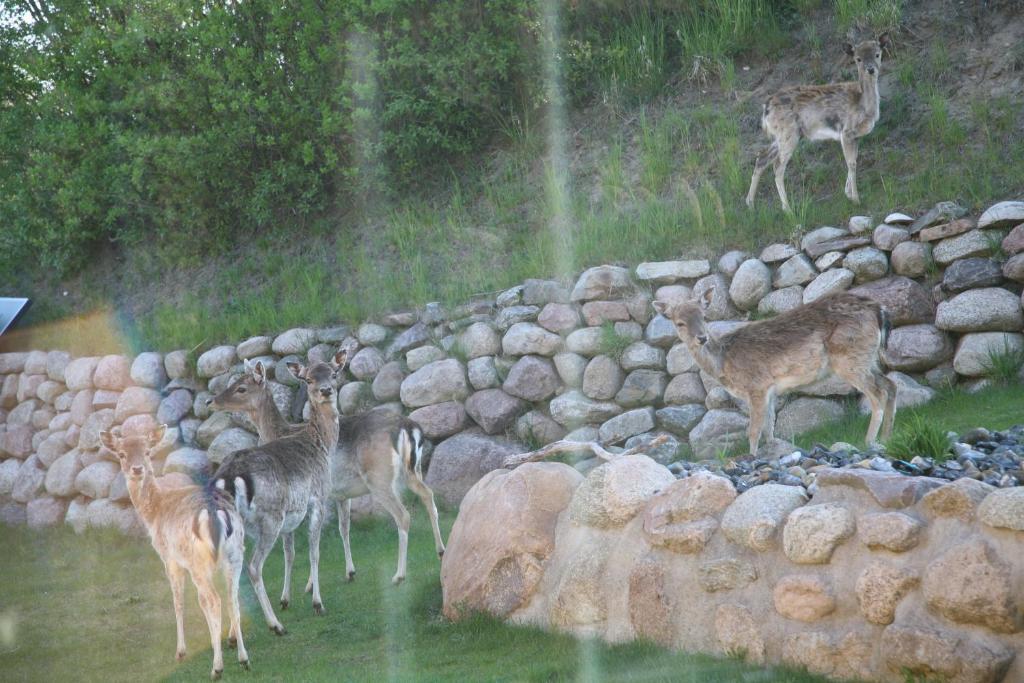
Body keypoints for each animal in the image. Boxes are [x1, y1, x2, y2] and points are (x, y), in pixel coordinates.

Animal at [99, 423, 247, 679]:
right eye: (122, 454)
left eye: (148, 452)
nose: (137, 469)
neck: (154, 513)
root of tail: (218, 514)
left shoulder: (169, 558)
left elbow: (178, 601)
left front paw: (180, 651)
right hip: (236, 553)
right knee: (233, 597)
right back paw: (244, 658)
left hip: (199, 562)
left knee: (214, 600)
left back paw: (217, 668)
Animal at [208, 352, 344, 634]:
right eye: (309, 379)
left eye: (334, 374)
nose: (326, 391)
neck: (322, 443)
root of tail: (227, 478)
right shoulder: (318, 497)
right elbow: (313, 550)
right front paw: (316, 603)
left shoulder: (294, 514)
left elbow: (290, 553)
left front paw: (288, 597)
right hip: (271, 517)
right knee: (253, 566)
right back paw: (275, 625)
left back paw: (232, 635)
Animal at [210, 358, 444, 589]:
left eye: (241, 387)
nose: (211, 401)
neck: (279, 433)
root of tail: (409, 426)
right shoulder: (341, 495)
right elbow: (343, 528)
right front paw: (349, 572)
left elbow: (308, 541)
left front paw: (309, 585)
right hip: (413, 471)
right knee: (428, 494)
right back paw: (440, 550)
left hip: (379, 478)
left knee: (403, 515)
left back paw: (399, 575)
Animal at [655, 290, 897, 456]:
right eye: (679, 323)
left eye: (704, 316)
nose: (702, 338)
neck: (725, 365)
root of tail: (879, 310)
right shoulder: (770, 390)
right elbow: (769, 428)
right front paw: (773, 450)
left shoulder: (757, 386)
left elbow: (753, 430)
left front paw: (751, 457)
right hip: (867, 358)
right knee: (891, 385)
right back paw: (887, 437)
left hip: (849, 358)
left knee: (878, 394)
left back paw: (868, 441)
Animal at [745, 31, 888, 211]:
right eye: (858, 59)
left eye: (878, 54)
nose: (870, 69)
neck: (863, 105)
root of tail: (766, 109)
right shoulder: (846, 131)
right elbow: (851, 163)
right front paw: (856, 199)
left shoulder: (856, 136)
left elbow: (853, 160)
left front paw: (848, 194)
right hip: (788, 134)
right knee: (777, 166)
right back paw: (788, 209)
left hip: (783, 135)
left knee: (762, 158)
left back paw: (750, 204)